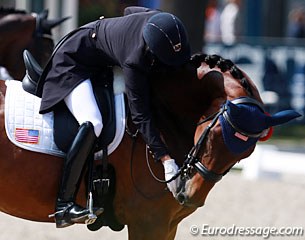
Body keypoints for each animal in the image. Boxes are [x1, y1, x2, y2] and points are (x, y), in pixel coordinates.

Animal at [0, 53, 300, 239]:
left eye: (245, 154)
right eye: (213, 135)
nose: (188, 195)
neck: (161, 113)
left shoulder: (167, 225)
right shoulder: (148, 222)